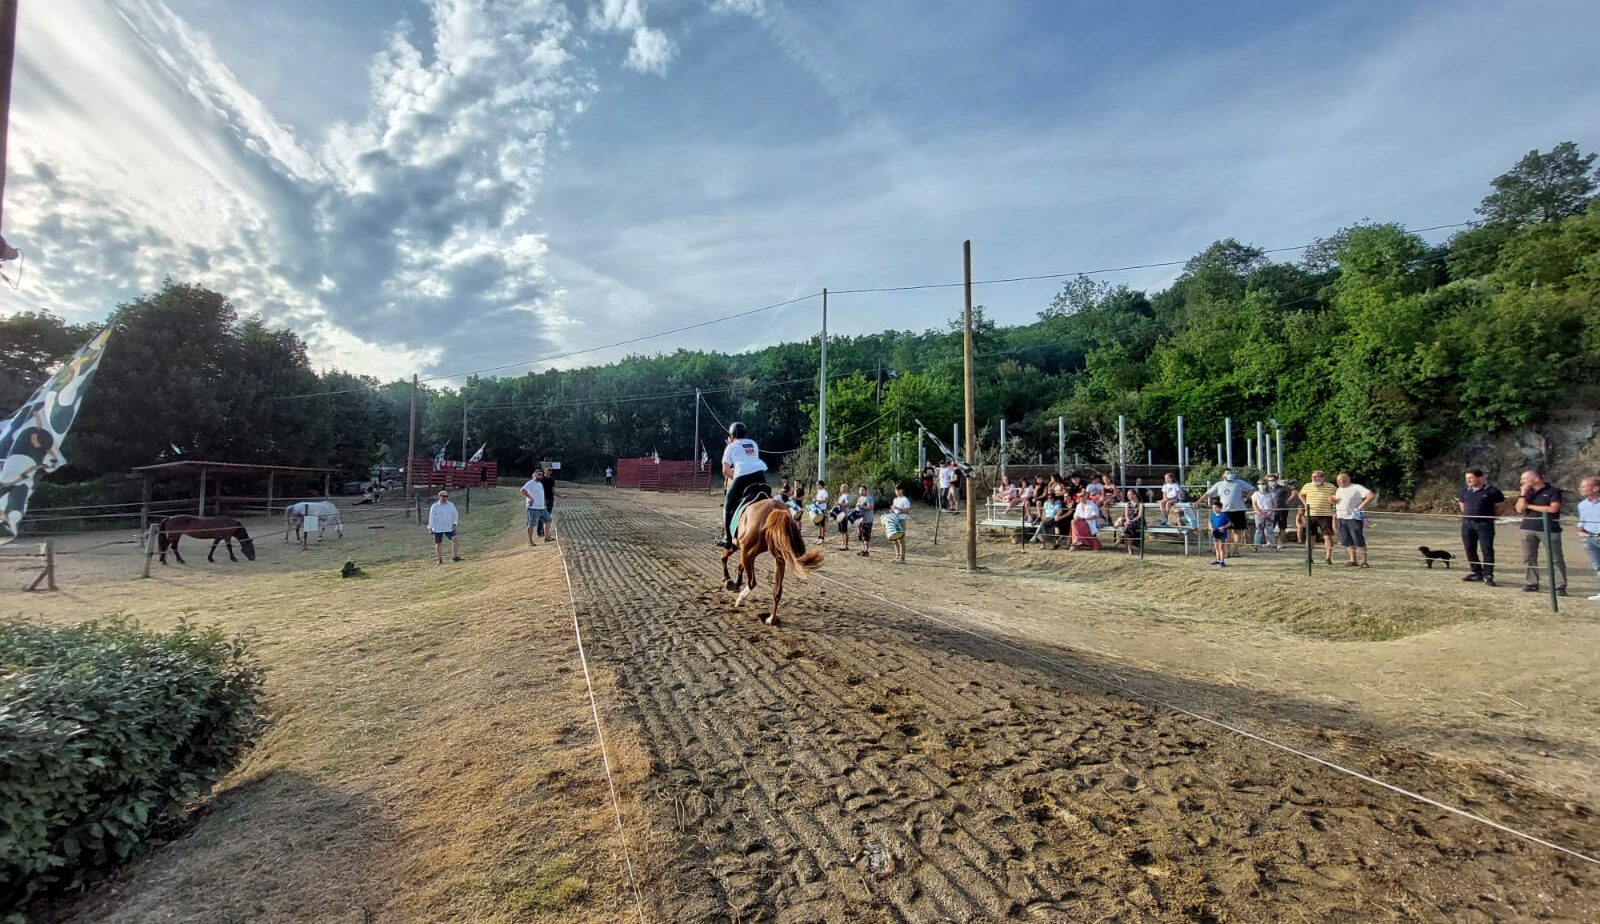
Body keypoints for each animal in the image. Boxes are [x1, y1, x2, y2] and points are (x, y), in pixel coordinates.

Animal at [723, 495, 825, 626]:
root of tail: (777, 510)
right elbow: (739, 566)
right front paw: (735, 583)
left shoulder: (735, 546)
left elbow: (724, 557)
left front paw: (728, 580)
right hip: (778, 558)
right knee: (777, 591)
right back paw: (771, 619)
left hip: (748, 552)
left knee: (752, 582)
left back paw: (740, 599)